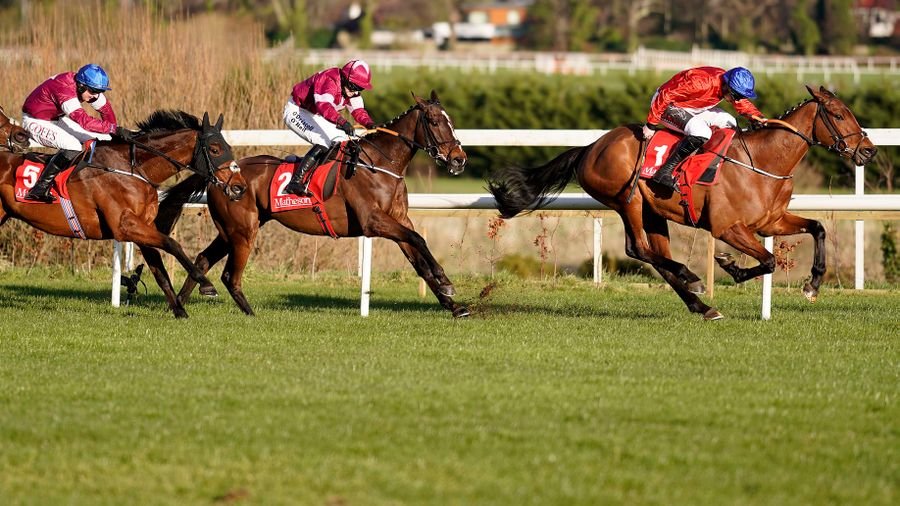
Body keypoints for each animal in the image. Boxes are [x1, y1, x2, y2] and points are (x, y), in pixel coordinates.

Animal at [0, 110, 248, 318]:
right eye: (215, 149)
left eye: (228, 147)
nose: (239, 187)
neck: (134, 168)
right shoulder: (125, 226)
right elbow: (173, 244)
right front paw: (206, 284)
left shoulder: (143, 228)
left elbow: (160, 272)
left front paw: (179, 311)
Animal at [173, 91, 471, 317]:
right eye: (434, 121)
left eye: (451, 120)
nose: (459, 159)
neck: (380, 164)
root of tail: (218, 175)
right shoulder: (373, 221)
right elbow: (419, 239)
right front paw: (446, 282)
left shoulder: (398, 219)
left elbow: (418, 258)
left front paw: (454, 305)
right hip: (242, 230)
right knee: (229, 275)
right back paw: (247, 312)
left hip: (232, 230)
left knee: (203, 259)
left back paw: (178, 304)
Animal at [488, 86, 877, 320]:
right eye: (839, 115)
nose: (868, 151)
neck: (762, 162)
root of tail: (590, 148)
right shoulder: (727, 228)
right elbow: (767, 260)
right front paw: (730, 266)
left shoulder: (771, 221)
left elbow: (818, 228)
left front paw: (813, 284)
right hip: (627, 200)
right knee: (638, 249)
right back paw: (692, 278)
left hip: (653, 211)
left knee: (653, 254)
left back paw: (699, 303)